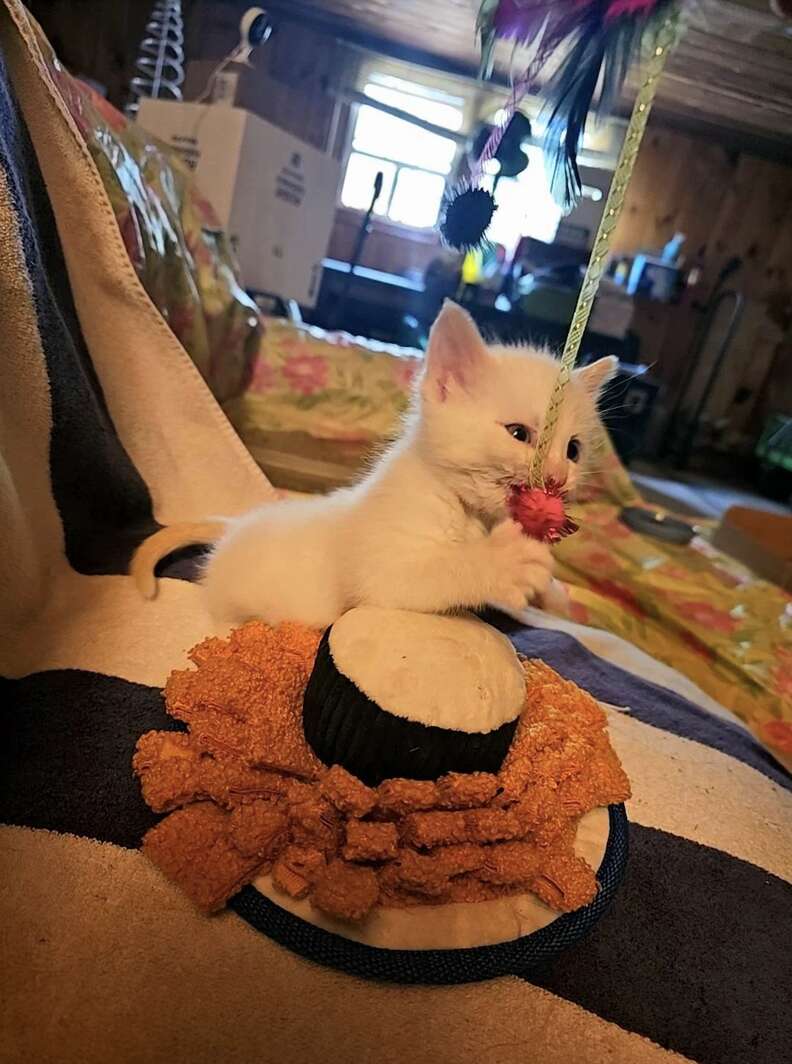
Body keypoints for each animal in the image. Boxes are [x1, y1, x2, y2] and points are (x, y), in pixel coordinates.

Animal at [129, 300, 617, 625]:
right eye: (519, 434)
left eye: (573, 450)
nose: (557, 477)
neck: (468, 512)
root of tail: (237, 524)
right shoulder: (380, 567)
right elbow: (428, 572)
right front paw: (501, 563)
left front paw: (555, 597)